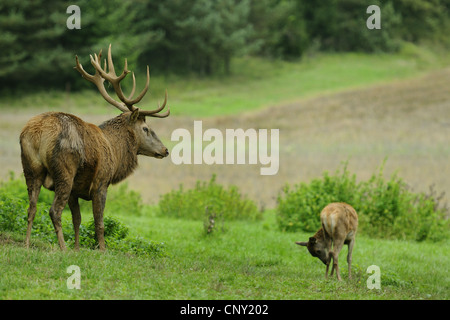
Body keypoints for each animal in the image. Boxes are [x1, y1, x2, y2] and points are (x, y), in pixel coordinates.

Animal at [18, 44, 171, 250]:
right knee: (54, 210)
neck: (115, 150)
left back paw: (27, 244)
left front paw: (77, 248)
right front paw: (102, 250)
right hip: (65, 169)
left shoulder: (75, 191)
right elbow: (99, 222)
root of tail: (38, 133)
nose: (165, 150)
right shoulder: (101, 182)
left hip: (30, 167)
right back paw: (63, 248)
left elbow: (77, 220)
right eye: (146, 128)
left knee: (31, 207)